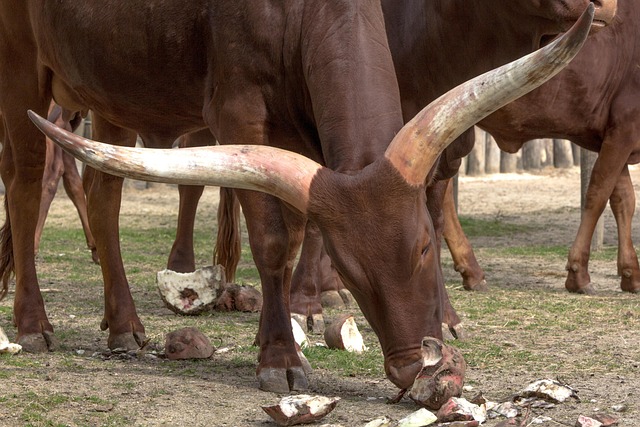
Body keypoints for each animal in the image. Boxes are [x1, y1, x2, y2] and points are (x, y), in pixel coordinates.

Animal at [1, 0, 590, 398]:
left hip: (111, 91)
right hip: (21, 68)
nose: (412, 369)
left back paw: (123, 326)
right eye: (350, 272)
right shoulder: (239, 113)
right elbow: (274, 241)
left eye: (425, 248)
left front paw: (274, 337)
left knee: (105, 194)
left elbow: (301, 229)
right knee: (26, 181)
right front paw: (280, 357)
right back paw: (33, 325)